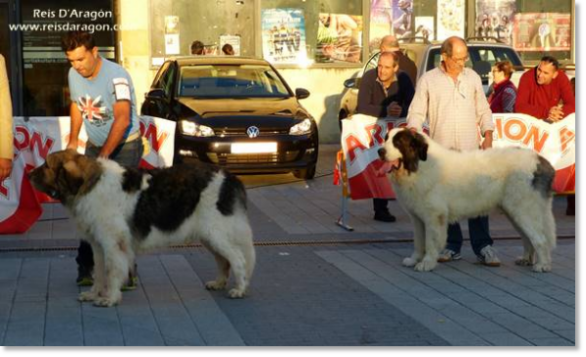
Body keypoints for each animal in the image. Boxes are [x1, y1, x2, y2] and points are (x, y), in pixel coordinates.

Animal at [28, 149, 253, 306]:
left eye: (46, 165)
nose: (29, 174)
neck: (90, 185)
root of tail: (230, 177)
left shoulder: (113, 244)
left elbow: (112, 271)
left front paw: (110, 299)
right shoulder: (98, 245)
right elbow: (99, 272)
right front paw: (93, 294)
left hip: (216, 233)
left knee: (238, 259)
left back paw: (240, 289)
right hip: (210, 237)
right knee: (224, 261)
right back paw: (219, 283)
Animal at [376, 129, 556, 272]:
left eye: (398, 142)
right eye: (386, 138)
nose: (380, 151)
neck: (419, 165)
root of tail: (540, 160)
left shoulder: (434, 216)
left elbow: (430, 242)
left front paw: (426, 263)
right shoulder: (417, 218)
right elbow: (418, 242)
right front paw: (414, 259)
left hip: (523, 210)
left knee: (540, 239)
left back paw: (543, 265)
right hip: (514, 213)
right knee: (528, 238)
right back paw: (526, 259)